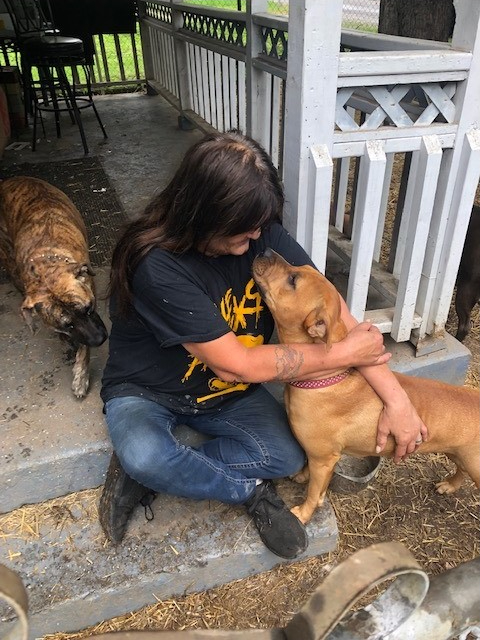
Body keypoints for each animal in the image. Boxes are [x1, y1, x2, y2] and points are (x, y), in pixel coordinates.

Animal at [0, 175, 107, 396]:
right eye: (68, 324)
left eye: (89, 308)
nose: (100, 339)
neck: (46, 268)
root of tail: (10, 179)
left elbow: (84, 348)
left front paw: (81, 374)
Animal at [253, 248, 478, 524]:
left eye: (293, 280)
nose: (265, 249)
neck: (327, 377)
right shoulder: (318, 456)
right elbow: (309, 472)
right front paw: (302, 477)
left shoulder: (323, 459)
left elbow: (314, 492)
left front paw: (303, 514)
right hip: (458, 452)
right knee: (460, 469)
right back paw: (449, 485)